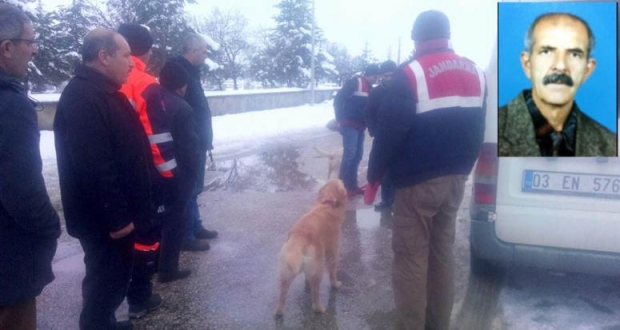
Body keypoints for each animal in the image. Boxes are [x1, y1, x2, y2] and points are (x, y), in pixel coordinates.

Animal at [276, 179, 348, 316]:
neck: (327, 202)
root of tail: (299, 237)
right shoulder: (333, 250)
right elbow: (333, 271)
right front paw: (335, 284)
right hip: (318, 268)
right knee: (315, 294)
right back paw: (319, 308)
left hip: (286, 271)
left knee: (282, 293)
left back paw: (279, 312)